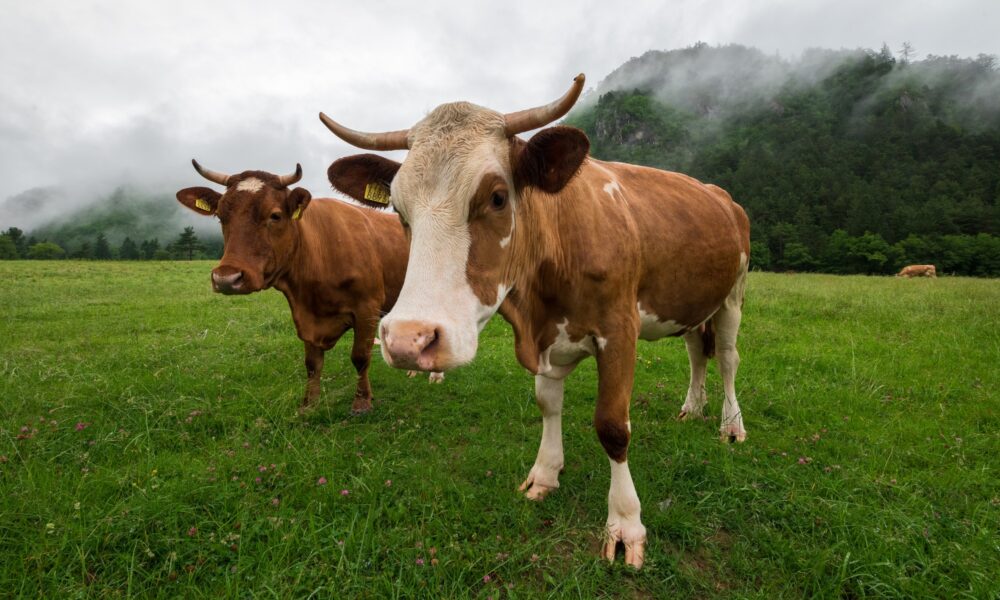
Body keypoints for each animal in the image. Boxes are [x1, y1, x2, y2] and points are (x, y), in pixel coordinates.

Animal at [175, 161, 442, 415]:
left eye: (275, 215)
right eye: (220, 216)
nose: (226, 278)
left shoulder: (367, 307)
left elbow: (360, 357)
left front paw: (362, 402)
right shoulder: (304, 316)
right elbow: (312, 364)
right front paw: (309, 404)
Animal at [320, 74, 750, 568]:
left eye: (497, 197)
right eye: (397, 209)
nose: (409, 340)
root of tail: (722, 195)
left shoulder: (620, 330)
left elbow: (612, 427)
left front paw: (625, 523)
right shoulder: (546, 337)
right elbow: (548, 403)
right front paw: (545, 474)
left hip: (734, 294)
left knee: (727, 359)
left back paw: (731, 425)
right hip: (694, 302)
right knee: (698, 352)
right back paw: (692, 407)